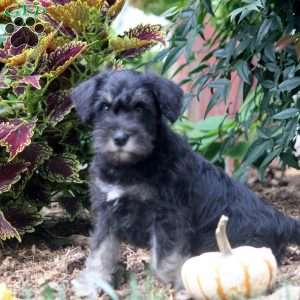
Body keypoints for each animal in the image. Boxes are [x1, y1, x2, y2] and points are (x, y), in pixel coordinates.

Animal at [69, 69, 300, 298]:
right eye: (105, 107)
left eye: (140, 107)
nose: (120, 138)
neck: (131, 166)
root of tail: (282, 220)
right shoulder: (106, 212)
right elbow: (101, 251)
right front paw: (91, 283)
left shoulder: (168, 215)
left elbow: (165, 257)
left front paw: (174, 283)